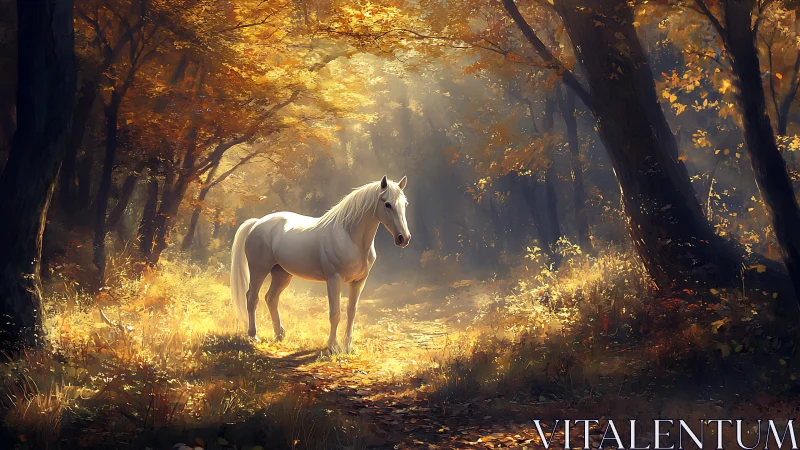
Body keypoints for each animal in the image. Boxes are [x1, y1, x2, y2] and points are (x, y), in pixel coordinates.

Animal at [230, 175, 411, 353]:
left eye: (405, 204)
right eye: (387, 204)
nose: (404, 238)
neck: (350, 237)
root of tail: (257, 223)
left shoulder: (359, 281)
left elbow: (351, 311)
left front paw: (348, 346)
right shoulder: (334, 280)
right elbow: (335, 313)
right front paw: (333, 346)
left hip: (281, 273)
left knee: (271, 298)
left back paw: (279, 334)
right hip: (258, 270)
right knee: (252, 298)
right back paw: (253, 336)